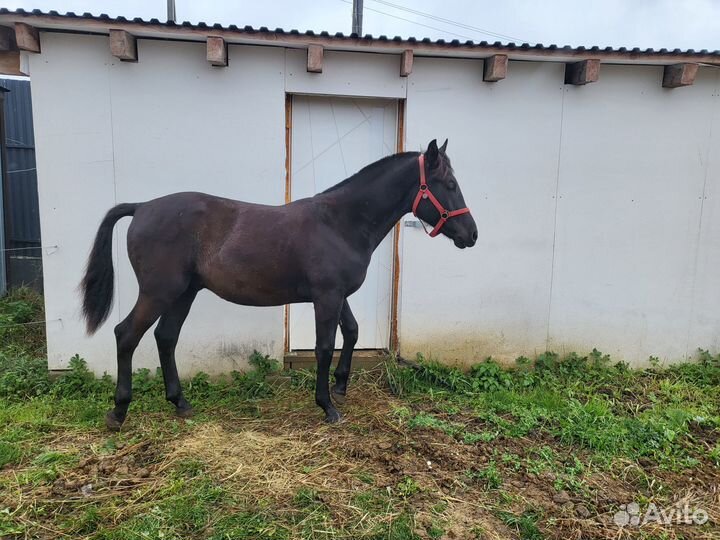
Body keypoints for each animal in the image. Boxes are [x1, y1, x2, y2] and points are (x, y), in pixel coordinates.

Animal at [80, 139, 477, 430]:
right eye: (451, 184)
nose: (471, 234)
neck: (340, 222)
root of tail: (142, 207)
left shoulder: (338, 295)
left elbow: (351, 331)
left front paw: (340, 385)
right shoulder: (326, 297)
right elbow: (323, 346)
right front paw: (327, 406)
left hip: (184, 293)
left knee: (166, 337)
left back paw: (180, 403)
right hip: (158, 292)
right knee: (126, 334)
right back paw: (118, 412)